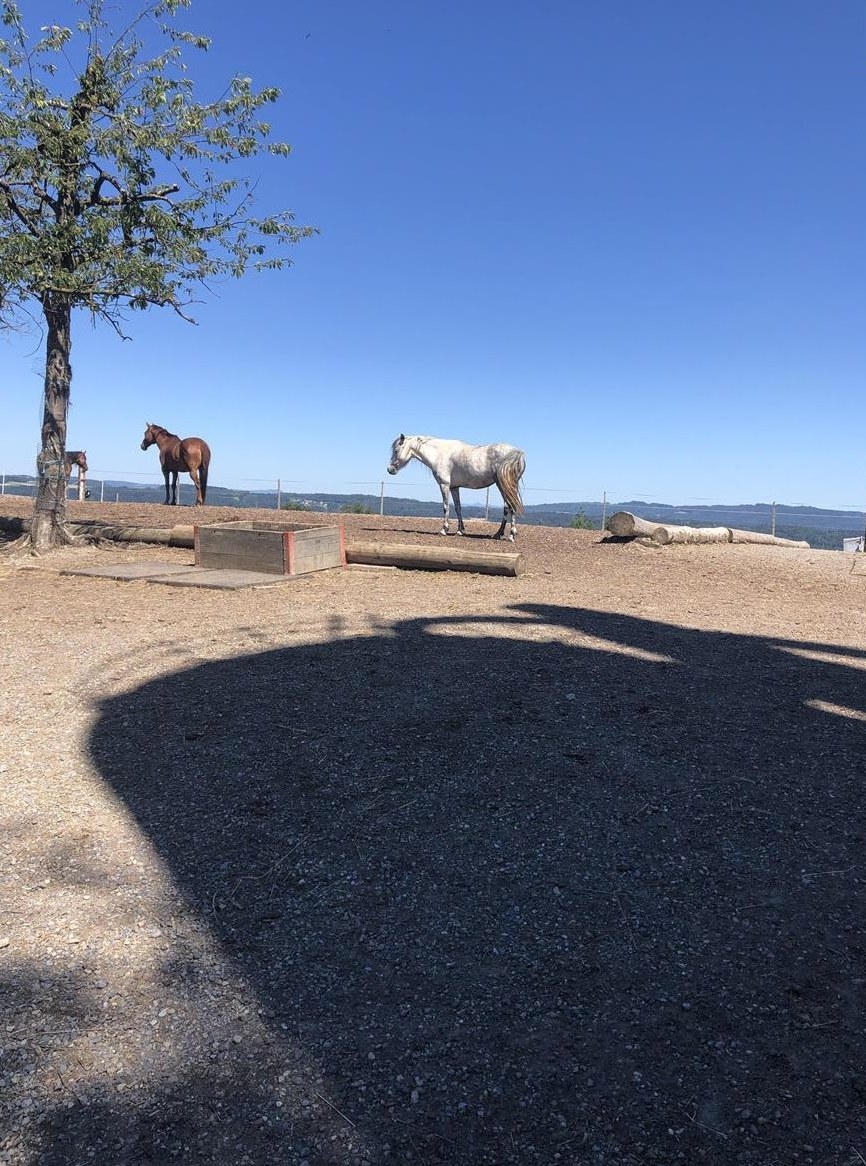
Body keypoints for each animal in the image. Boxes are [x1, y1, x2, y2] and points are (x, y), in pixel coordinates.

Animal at [387, 434, 526, 541]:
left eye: (396, 450)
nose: (390, 469)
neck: (439, 453)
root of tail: (517, 453)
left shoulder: (444, 485)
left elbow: (446, 507)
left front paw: (444, 530)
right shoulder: (454, 487)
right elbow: (458, 508)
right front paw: (460, 531)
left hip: (504, 486)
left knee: (510, 507)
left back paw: (511, 536)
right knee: (507, 508)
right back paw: (498, 534)